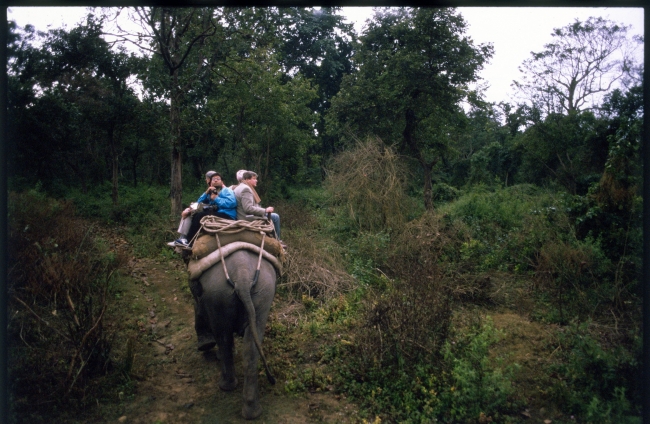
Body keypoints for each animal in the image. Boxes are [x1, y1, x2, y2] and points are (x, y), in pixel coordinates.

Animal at [190, 247, 276, 420]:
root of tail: (241, 274)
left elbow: (196, 300)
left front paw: (205, 345)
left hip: (217, 293)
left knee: (223, 338)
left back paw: (226, 385)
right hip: (264, 291)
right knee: (251, 349)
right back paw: (252, 412)